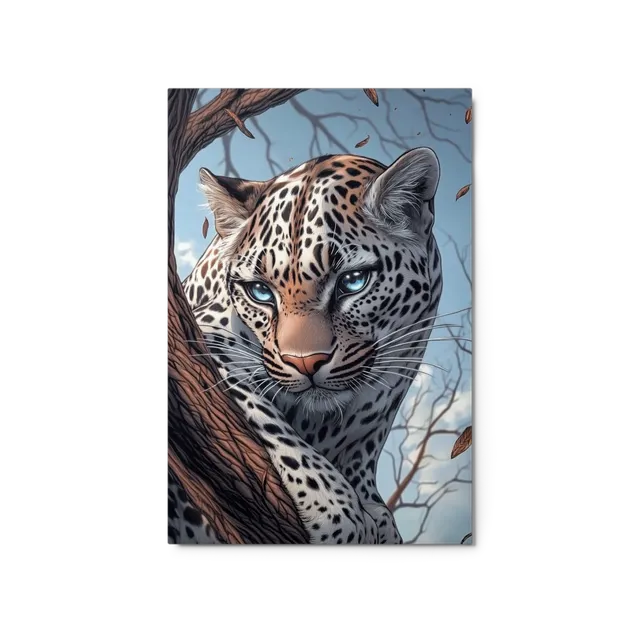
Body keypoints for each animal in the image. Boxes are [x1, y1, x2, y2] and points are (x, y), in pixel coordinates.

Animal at [167, 147, 444, 544]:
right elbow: (270, 420)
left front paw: (373, 509)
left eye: (353, 281)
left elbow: (364, 444)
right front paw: (337, 512)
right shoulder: (200, 334)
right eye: (260, 291)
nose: (306, 363)